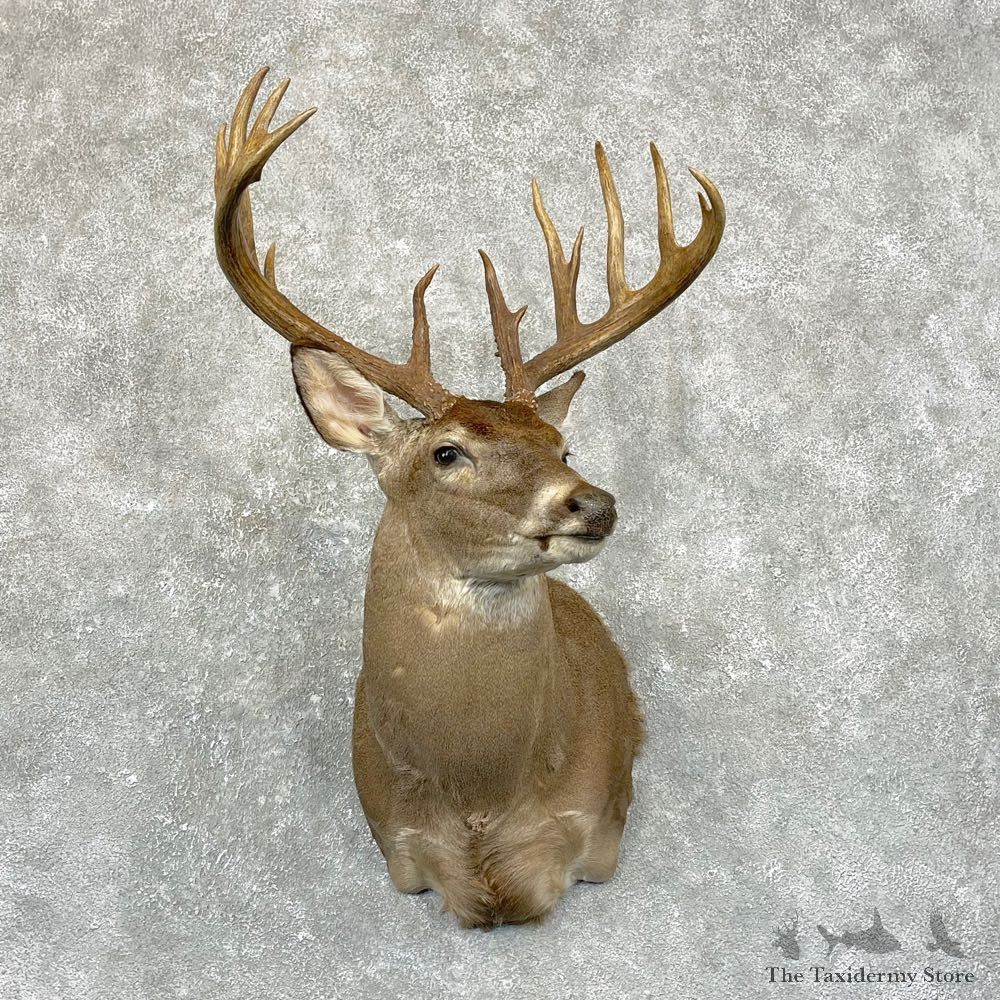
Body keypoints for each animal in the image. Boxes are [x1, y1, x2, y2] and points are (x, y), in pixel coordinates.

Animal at [213, 68, 725, 928]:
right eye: (447, 452)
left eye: (561, 446)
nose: (591, 503)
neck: (481, 795)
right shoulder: (400, 849)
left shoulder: (597, 837)